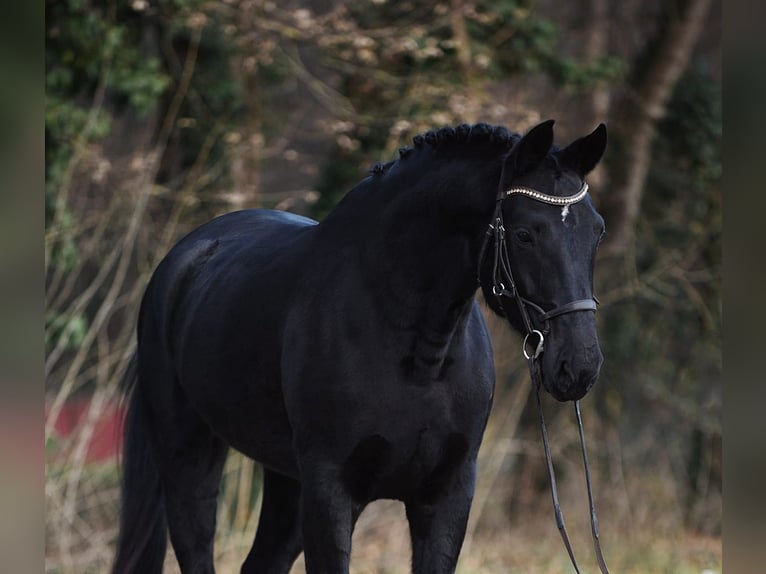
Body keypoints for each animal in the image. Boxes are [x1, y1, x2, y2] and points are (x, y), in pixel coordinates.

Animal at [112, 119, 608, 572]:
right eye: (524, 234)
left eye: (596, 231)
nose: (580, 365)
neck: (416, 358)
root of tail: (185, 257)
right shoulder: (331, 492)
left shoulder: (446, 497)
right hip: (189, 455)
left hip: (286, 480)